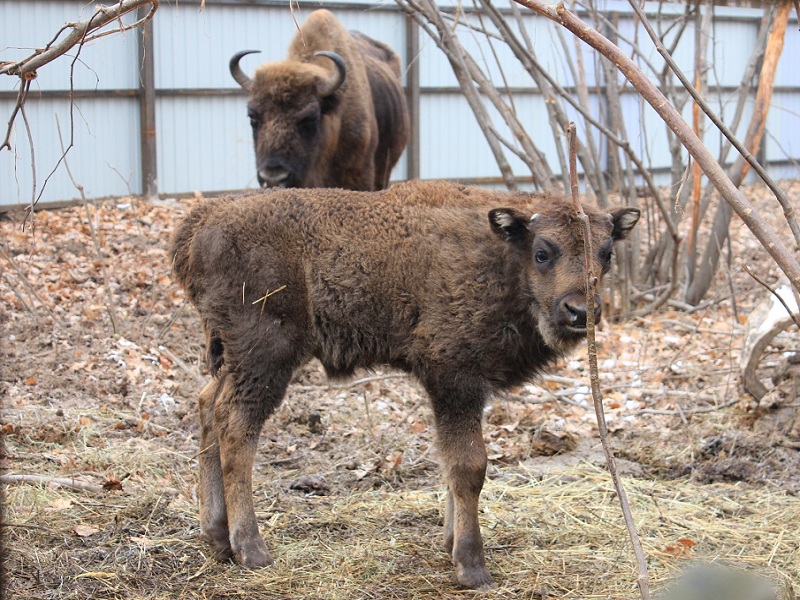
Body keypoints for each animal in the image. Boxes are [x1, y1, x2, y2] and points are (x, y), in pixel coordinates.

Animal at [169, 179, 636, 592]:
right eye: (543, 252)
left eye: (607, 253)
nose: (580, 311)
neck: (502, 253)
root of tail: (204, 220)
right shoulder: (454, 378)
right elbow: (469, 467)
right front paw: (471, 566)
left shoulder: (463, 390)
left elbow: (449, 464)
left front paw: (450, 543)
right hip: (265, 356)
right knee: (236, 428)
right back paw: (251, 549)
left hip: (232, 358)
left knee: (207, 407)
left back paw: (217, 538)